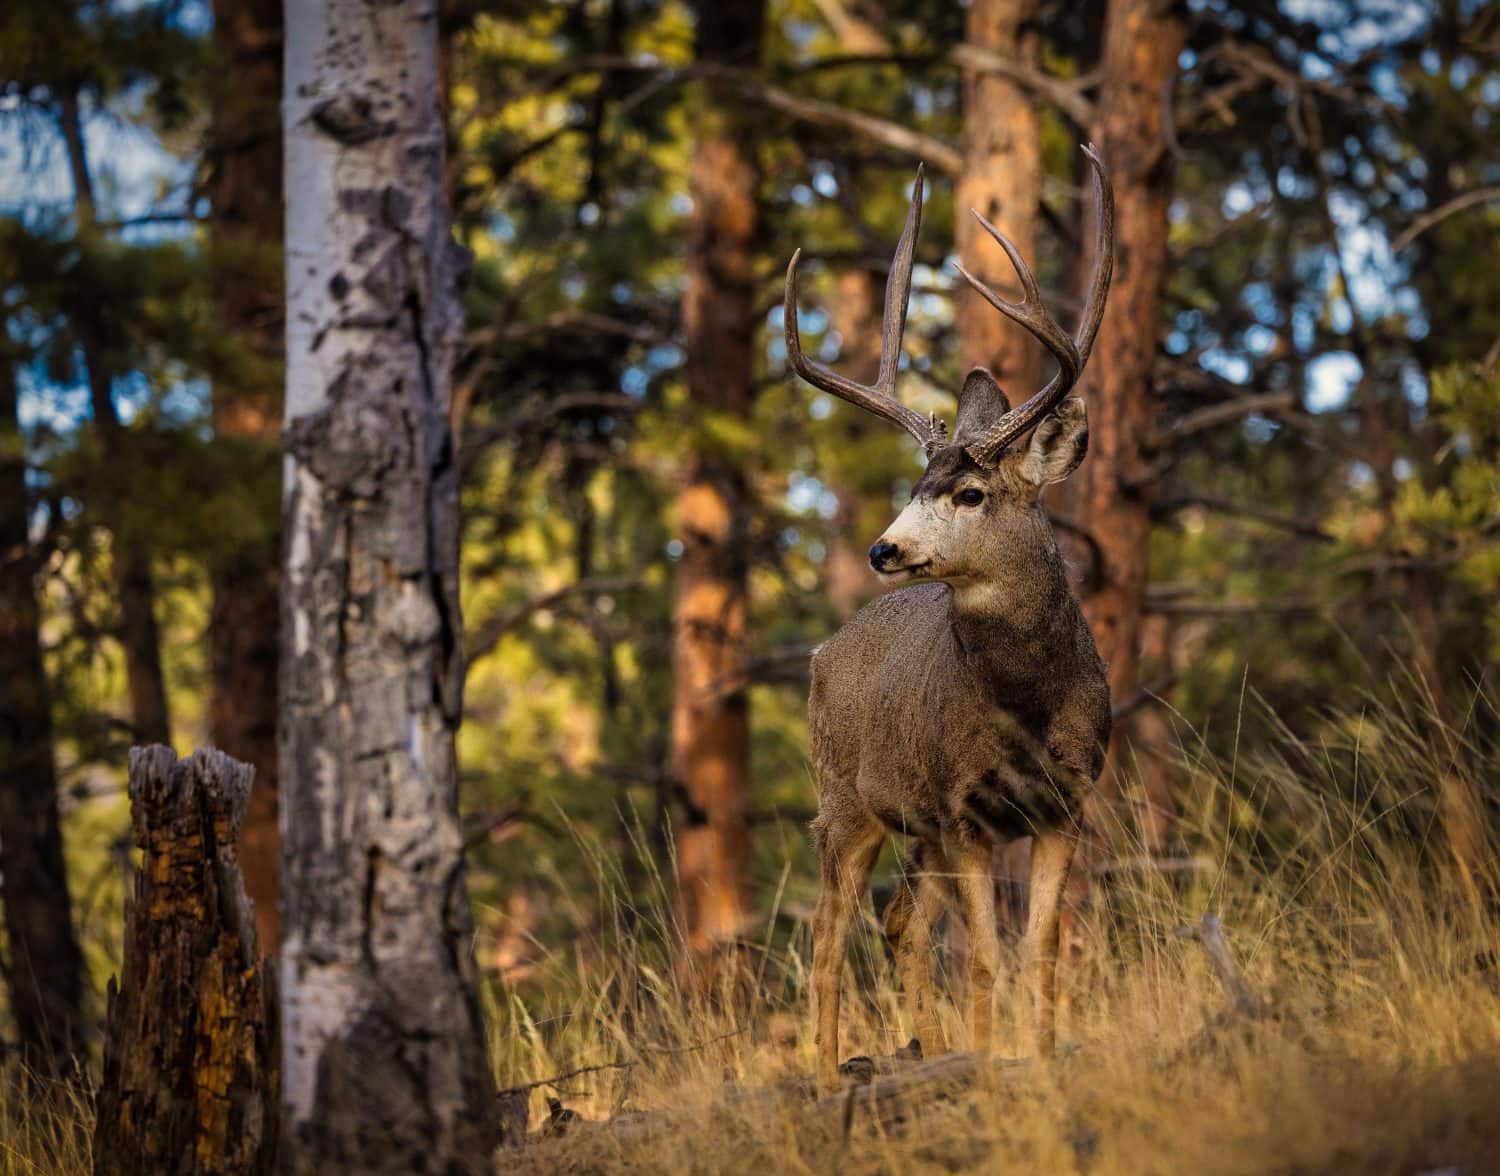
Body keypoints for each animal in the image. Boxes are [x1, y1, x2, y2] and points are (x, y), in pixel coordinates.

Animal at [785, 145, 1115, 1093]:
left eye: (969, 493)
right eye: (914, 486)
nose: (883, 548)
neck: (1028, 705)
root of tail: (823, 652)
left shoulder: (1065, 804)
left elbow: (1040, 953)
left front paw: (1039, 1056)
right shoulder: (966, 809)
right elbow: (984, 960)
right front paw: (992, 1059)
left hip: (914, 825)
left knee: (899, 926)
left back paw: (917, 1049)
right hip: (843, 800)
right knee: (828, 940)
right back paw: (830, 1075)